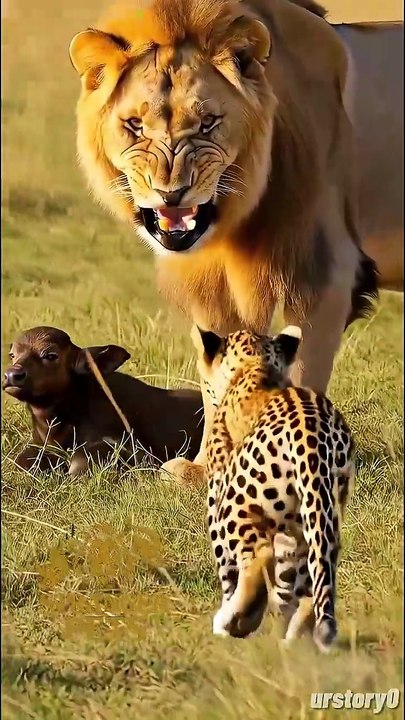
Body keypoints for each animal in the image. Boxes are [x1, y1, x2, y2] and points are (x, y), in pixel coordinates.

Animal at [70, 0, 390, 475]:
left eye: (207, 123)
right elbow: (216, 378)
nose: (171, 193)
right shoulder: (209, 286)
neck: (230, 224)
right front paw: (204, 469)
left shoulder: (320, 275)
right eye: (135, 125)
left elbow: (302, 375)